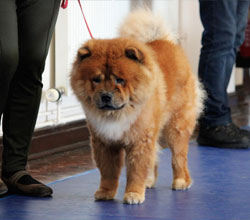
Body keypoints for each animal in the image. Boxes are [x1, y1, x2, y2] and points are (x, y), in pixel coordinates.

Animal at [70, 9, 203, 205]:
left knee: (179, 156)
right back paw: (149, 181)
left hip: (176, 126)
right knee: (155, 155)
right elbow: (108, 171)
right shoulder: (104, 142)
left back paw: (181, 181)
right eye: (96, 80)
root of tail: (165, 42)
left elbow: (136, 170)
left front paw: (133, 194)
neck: (116, 114)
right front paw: (106, 192)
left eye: (119, 80)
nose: (106, 95)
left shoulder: (139, 140)